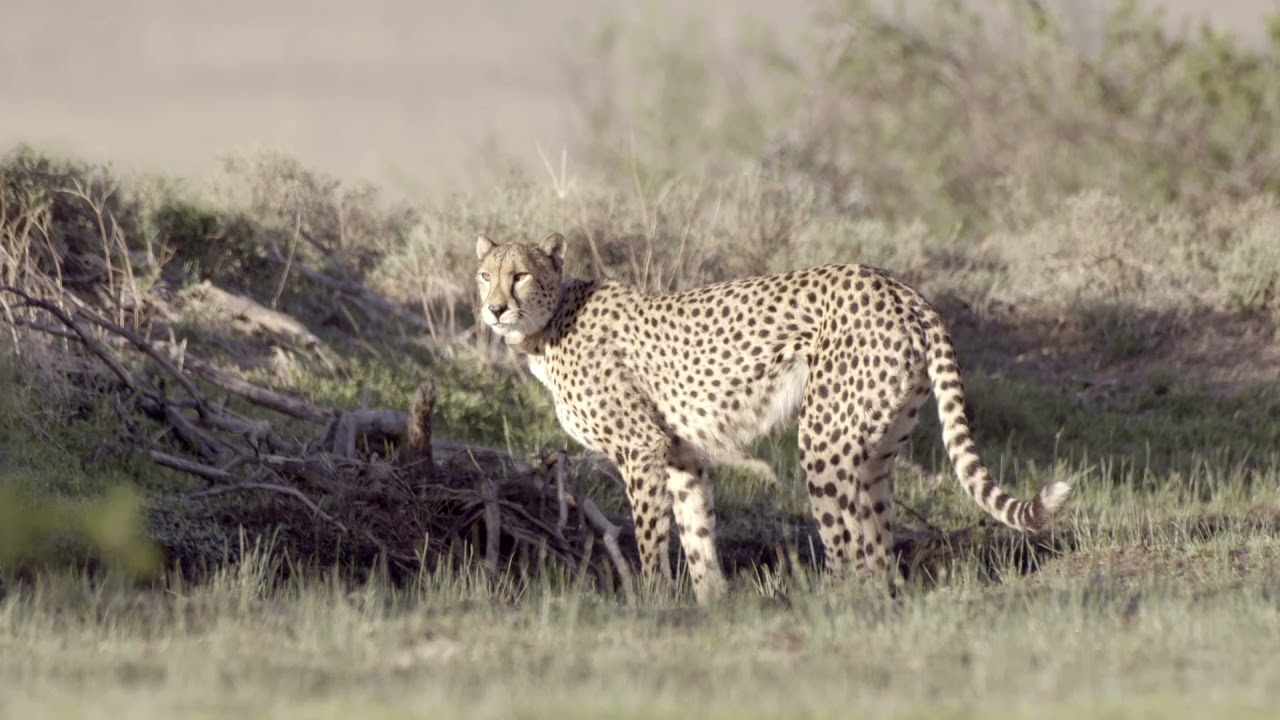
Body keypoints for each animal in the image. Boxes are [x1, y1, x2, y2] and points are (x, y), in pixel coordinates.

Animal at [475, 232, 1071, 604]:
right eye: (484, 276)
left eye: (520, 276)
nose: (494, 308)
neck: (548, 326)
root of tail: (899, 286)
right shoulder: (681, 454)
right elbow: (696, 533)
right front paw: (711, 607)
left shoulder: (640, 448)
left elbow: (651, 537)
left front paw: (653, 604)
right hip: (877, 450)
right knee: (878, 544)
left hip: (824, 440)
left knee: (848, 543)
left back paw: (829, 605)